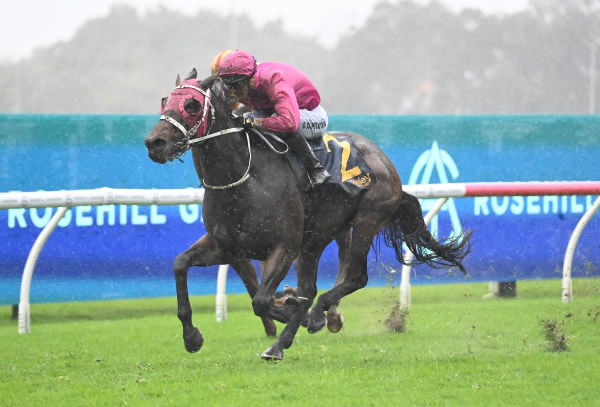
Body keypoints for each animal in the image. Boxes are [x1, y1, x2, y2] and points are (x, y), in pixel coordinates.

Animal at [145, 70, 474, 360]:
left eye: (191, 104)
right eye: (164, 100)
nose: (154, 143)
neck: (245, 178)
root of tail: (384, 160)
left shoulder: (283, 247)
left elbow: (261, 300)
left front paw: (297, 310)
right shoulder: (226, 247)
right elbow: (180, 265)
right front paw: (192, 337)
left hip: (366, 220)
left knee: (355, 277)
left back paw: (313, 316)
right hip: (316, 238)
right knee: (312, 287)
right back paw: (285, 338)